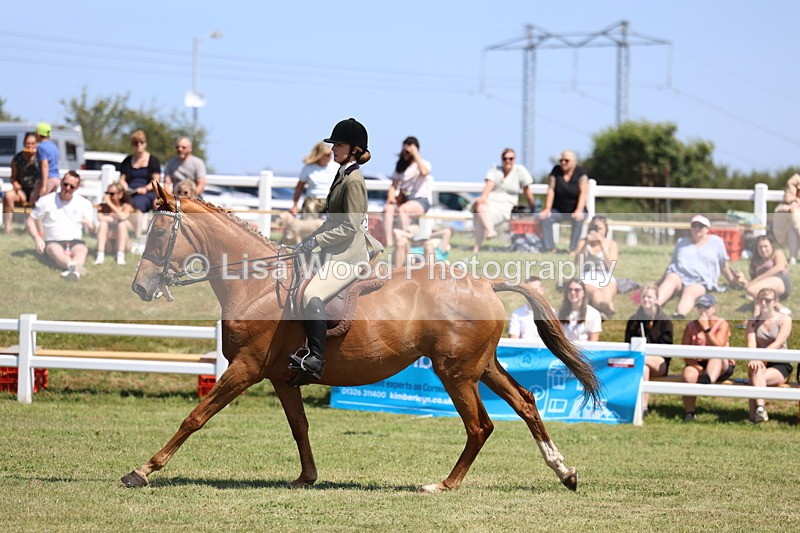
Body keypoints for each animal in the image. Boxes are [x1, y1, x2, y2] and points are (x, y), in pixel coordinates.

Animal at [122, 181, 601, 493]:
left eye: (159, 232)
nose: (140, 289)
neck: (255, 285)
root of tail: (486, 283)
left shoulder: (245, 368)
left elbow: (195, 417)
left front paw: (142, 470)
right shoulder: (280, 376)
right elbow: (299, 426)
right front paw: (307, 477)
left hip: (456, 373)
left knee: (479, 425)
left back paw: (445, 484)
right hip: (481, 366)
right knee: (526, 403)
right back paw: (565, 472)